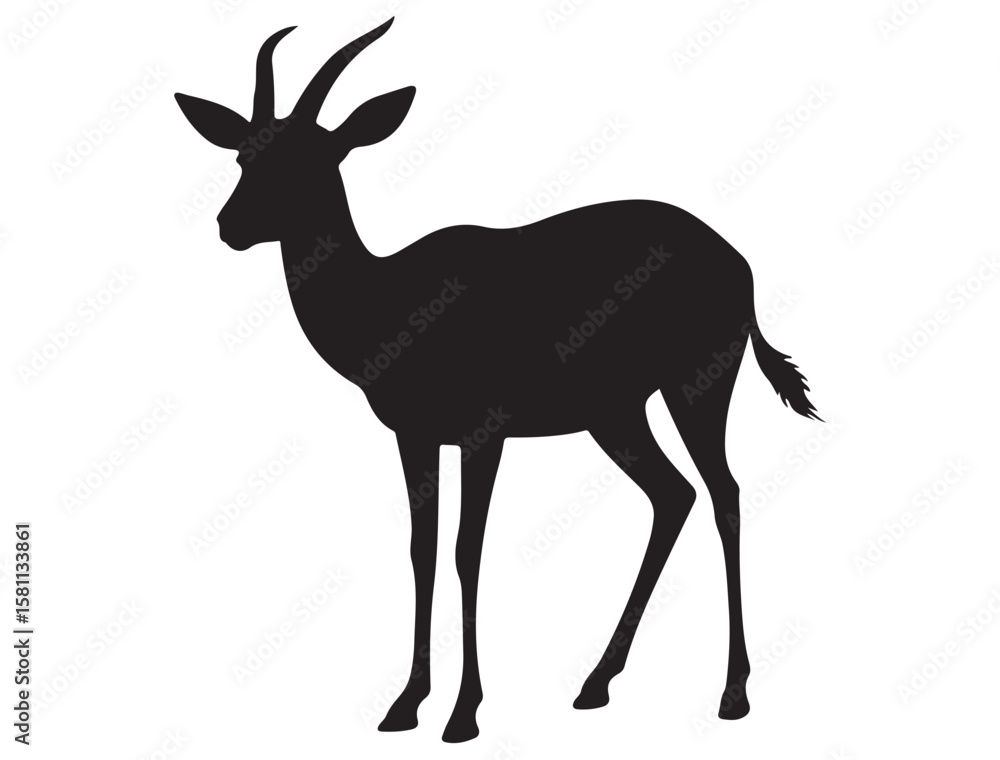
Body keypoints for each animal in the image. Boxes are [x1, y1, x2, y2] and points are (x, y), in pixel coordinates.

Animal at [176, 18, 820, 743]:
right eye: (243, 156)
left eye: (312, 159)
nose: (230, 226)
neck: (390, 298)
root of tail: (737, 261)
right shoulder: (414, 436)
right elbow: (422, 550)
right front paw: (405, 705)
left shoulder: (484, 434)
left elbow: (467, 551)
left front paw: (463, 714)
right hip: (616, 413)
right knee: (673, 495)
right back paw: (594, 684)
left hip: (696, 386)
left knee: (724, 494)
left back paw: (732, 694)